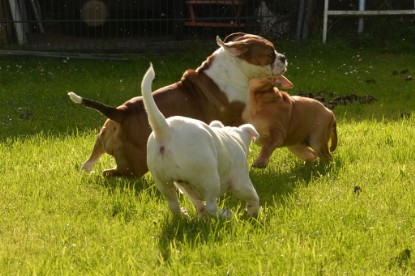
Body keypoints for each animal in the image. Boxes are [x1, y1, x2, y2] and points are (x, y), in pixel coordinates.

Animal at [69, 33, 290, 177]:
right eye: (270, 54)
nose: (283, 57)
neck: (233, 69)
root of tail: (120, 112)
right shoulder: (236, 120)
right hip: (134, 166)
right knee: (112, 174)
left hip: (101, 141)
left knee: (89, 164)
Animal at [143, 64, 260, 218]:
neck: (233, 136)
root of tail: (166, 132)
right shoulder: (241, 181)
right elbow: (252, 195)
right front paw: (253, 211)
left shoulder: (187, 187)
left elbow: (196, 201)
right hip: (211, 180)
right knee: (211, 206)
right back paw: (224, 214)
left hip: (164, 182)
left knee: (174, 204)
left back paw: (184, 214)